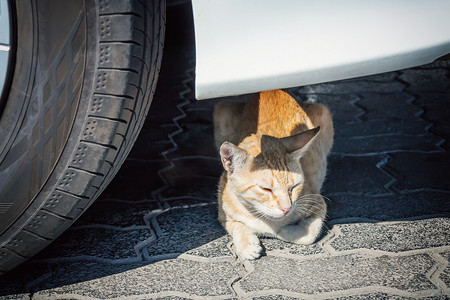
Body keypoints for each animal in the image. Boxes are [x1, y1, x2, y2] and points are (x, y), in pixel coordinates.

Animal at [214, 89, 334, 260]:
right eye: (266, 189)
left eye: (294, 186)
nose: (286, 209)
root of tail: (270, 90)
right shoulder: (224, 214)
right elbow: (235, 225)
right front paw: (246, 244)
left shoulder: (317, 201)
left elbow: (309, 232)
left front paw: (285, 231)